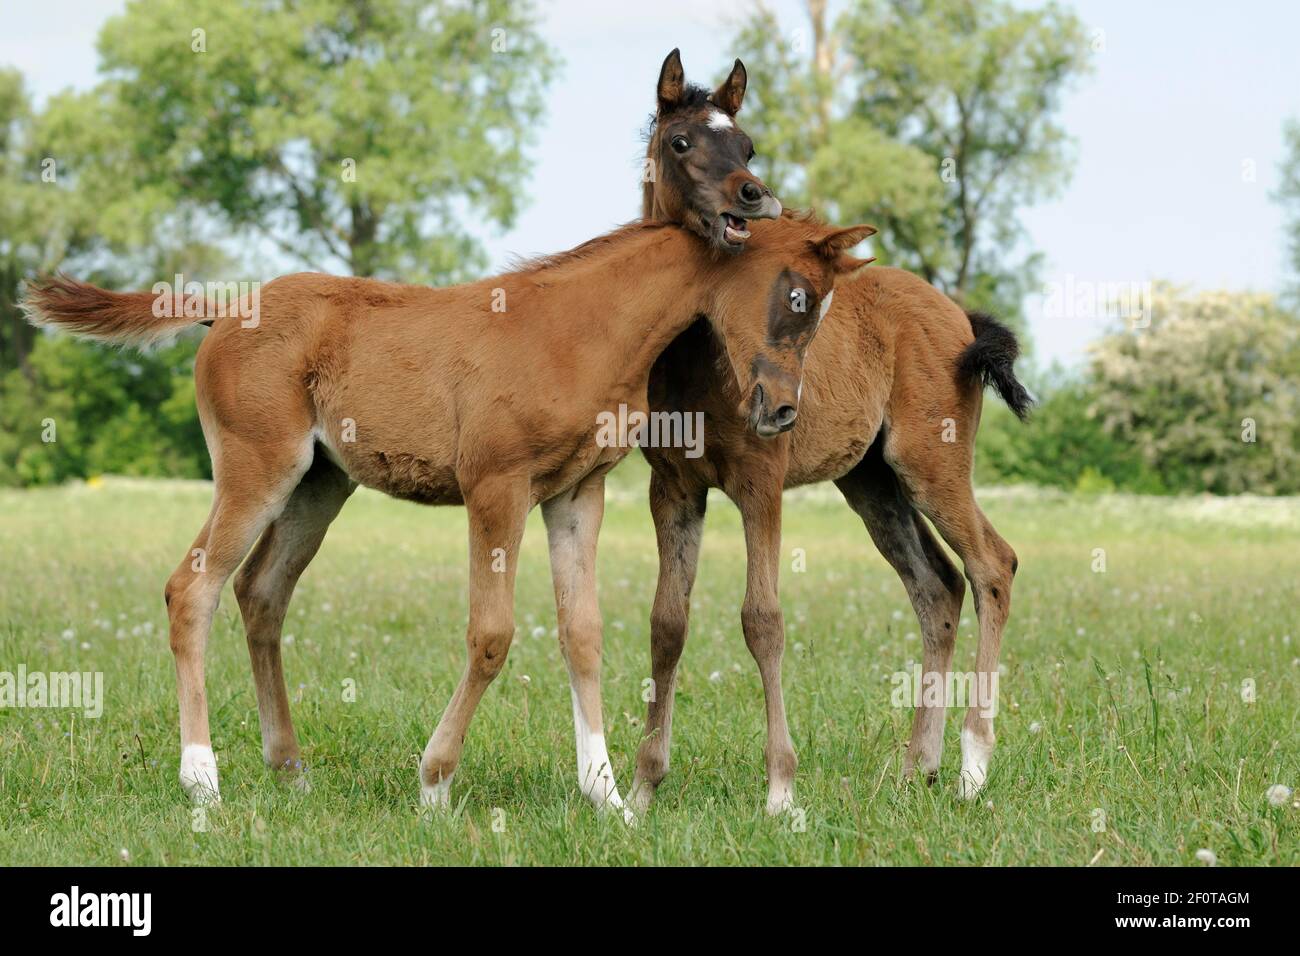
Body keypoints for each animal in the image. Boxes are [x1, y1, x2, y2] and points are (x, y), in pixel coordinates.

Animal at [22, 214, 873, 816]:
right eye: (797, 295)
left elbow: (583, 631)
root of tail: (226, 311)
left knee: (259, 592)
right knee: (190, 589)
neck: (578, 327)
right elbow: (492, 633)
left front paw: (605, 796)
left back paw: (290, 771)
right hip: (255, 468)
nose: (782, 411)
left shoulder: (576, 493)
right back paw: (203, 780)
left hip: (318, 484)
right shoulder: (495, 486)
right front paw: (434, 783)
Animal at [629, 52, 1024, 816]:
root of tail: (960, 318)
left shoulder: (761, 481)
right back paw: (917, 767)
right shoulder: (675, 488)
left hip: (929, 462)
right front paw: (640, 789)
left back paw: (972, 768)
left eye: (748, 145)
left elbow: (762, 619)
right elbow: (668, 622)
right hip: (871, 481)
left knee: (992, 565)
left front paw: (782, 790)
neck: (700, 355)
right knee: (937, 588)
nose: (754, 196)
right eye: (681, 141)